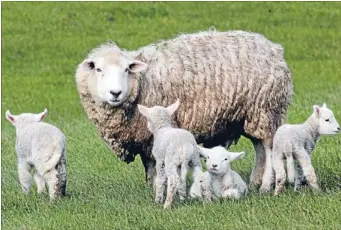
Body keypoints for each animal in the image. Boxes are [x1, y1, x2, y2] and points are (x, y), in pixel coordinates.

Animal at [73, 28, 292, 192]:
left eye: (126, 70)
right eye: (99, 70)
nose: (115, 93)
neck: (144, 82)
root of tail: (274, 50)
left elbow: (155, 163)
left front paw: (160, 187)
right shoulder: (142, 135)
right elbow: (148, 165)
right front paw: (152, 187)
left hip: (264, 109)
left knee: (268, 147)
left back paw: (265, 185)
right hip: (249, 115)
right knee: (259, 147)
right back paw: (255, 181)